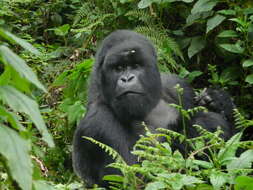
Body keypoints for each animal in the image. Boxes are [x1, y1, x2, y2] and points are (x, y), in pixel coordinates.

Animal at [72, 30, 234, 187]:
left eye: (136, 66)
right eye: (118, 68)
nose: (127, 78)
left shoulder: (177, 85)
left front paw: (219, 101)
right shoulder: (96, 121)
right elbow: (136, 176)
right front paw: (199, 127)